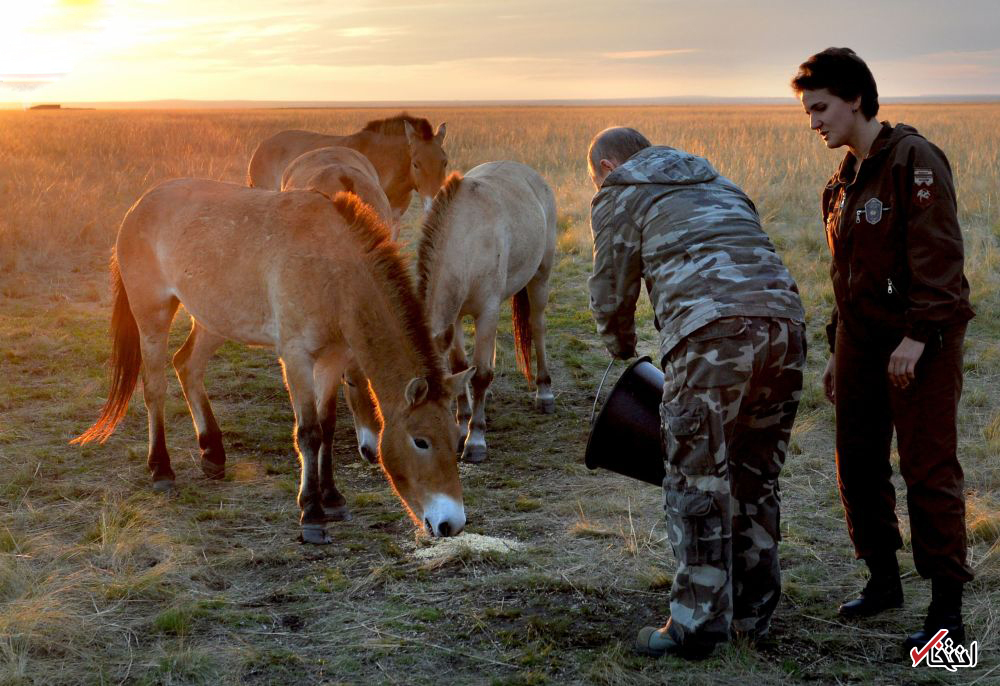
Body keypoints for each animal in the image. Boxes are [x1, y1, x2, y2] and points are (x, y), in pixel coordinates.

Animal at [73, 180, 472, 544]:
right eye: (420, 441)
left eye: (456, 439)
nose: (451, 523)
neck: (334, 270)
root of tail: (139, 205)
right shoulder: (296, 357)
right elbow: (309, 432)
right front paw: (311, 513)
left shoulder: (332, 358)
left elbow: (327, 426)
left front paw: (332, 497)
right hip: (152, 315)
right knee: (155, 386)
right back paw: (161, 470)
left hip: (214, 319)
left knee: (187, 365)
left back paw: (212, 452)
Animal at [414, 162, 556, 464]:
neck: (466, 239)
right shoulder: (454, 319)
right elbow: (459, 366)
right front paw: (462, 425)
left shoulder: (486, 311)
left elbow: (479, 374)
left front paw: (475, 439)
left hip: (540, 277)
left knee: (537, 328)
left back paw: (544, 393)